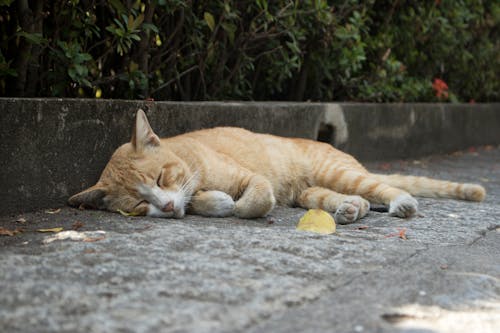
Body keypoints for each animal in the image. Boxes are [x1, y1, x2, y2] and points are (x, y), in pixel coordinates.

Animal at [68, 109, 486, 223]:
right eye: (140, 204)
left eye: (160, 176)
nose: (167, 207)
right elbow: (204, 201)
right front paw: (211, 202)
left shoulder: (251, 180)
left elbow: (251, 202)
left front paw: (231, 205)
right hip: (311, 193)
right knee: (352, 200)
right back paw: (349, 209)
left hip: (339, 172)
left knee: (383, 188)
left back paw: (400, 203)